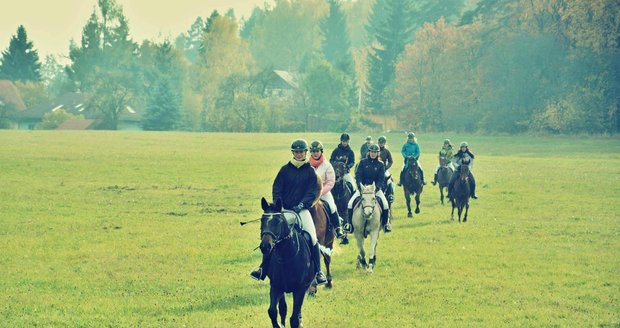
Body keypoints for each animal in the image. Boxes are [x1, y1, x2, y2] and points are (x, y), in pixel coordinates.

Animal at [258, 197, 314, 328]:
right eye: (262, 220)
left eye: (278, 222)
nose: (265, 246)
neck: (286, 256)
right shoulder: (276, 286)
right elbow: (273, 311)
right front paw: (279, 325)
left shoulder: (300, 289)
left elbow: (294, 319)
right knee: (283, 308)